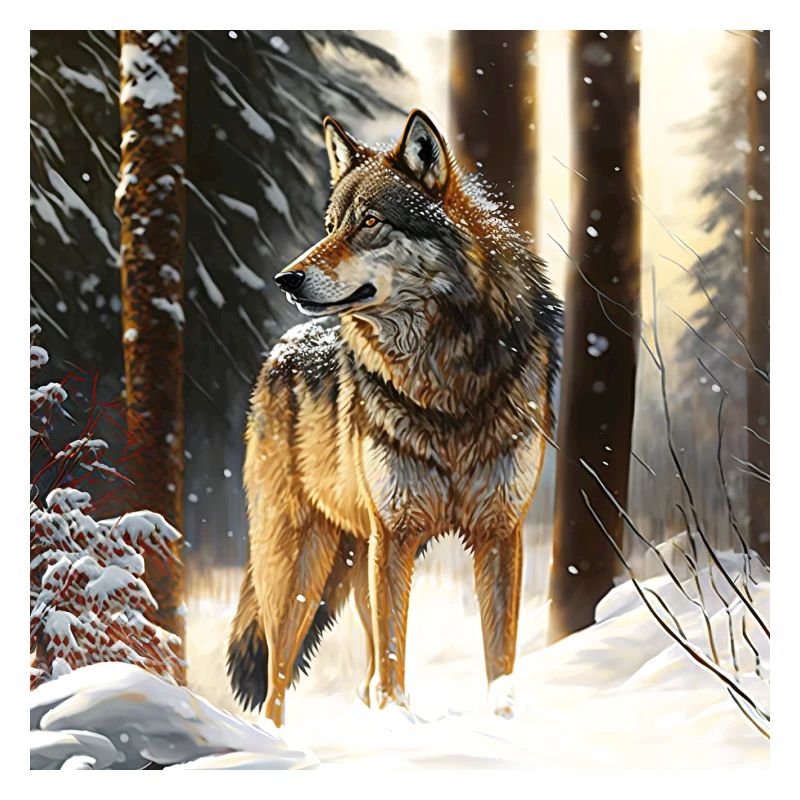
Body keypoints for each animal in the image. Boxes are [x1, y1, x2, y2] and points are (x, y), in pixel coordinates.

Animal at [227, 109, 562, 726]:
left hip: (356, 562)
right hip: (301, 568)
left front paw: (499, 724)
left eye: (370, 222)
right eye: (330, 225)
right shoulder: (396, 534)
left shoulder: (500, 531)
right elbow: (392, 668)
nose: (286, 279)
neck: (445, 380)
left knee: (357, 679)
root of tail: (278, 351)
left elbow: (498, 658)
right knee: (277, 680)